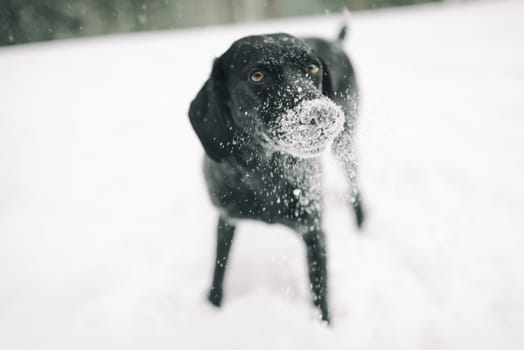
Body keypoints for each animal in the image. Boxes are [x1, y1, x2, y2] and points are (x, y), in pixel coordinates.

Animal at [188, 26, 364, 324]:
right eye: (257, 75)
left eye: (313, 69)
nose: (322, 114)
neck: (266, 174)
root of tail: (334, 40)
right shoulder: (226, 218)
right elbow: (218, 269)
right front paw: (213, 307)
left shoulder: (313, 232)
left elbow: (320, 296)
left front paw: (324, 328)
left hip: (345, 142)